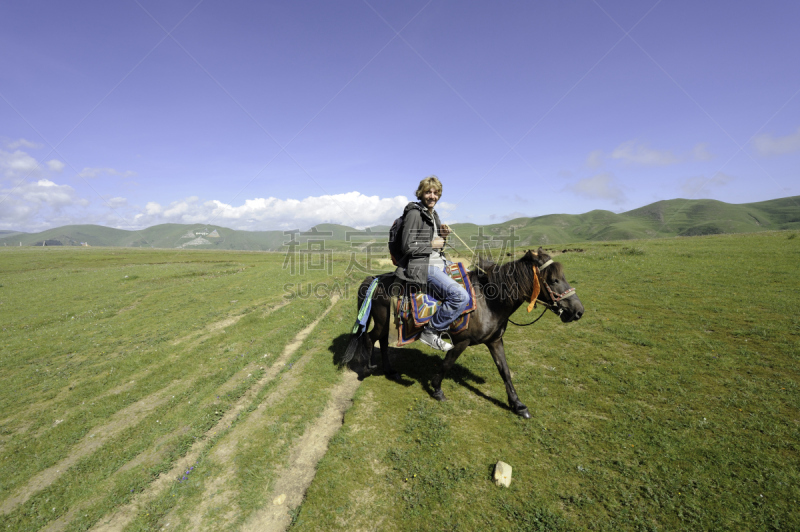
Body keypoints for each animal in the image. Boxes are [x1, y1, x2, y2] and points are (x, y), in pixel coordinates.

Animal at [344, 249, 580, 420]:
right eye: (554, 280)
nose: (578, 311)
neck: (489, 302)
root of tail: (375, 279)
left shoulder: (495, 341)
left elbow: (505, 371)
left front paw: (518, 405)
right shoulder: (461, 341)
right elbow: (447, 364)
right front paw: (437, 389)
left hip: (385, 323)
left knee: (382, 341)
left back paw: (390, 371)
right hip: (381, 322)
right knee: (370, 338)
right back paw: (368, 369)